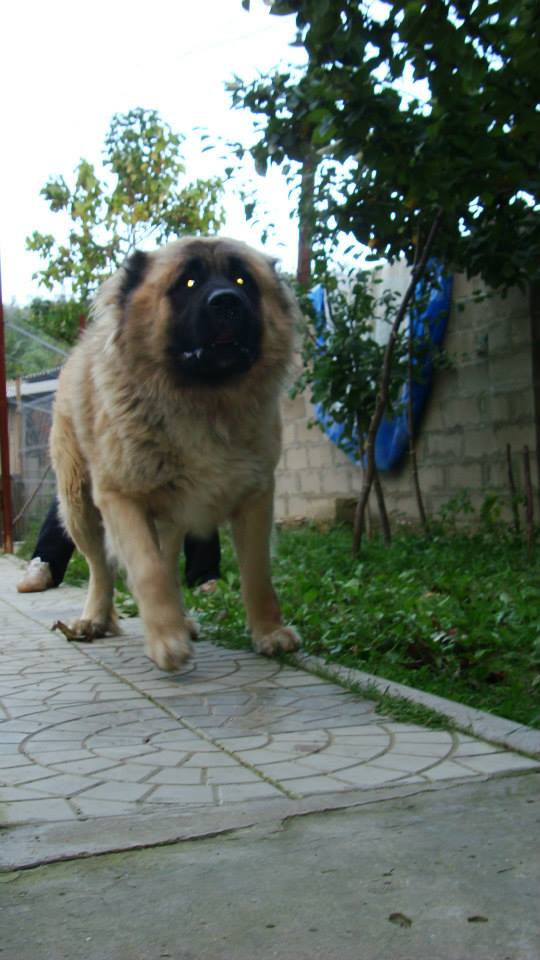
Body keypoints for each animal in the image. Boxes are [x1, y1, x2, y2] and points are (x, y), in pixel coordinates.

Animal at [50, 235, 300, 668]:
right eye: (188, 282)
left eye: (243, 280)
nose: (227, 302)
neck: (203, 402)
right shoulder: (119, 496)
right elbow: (147, 569)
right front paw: (166, 639)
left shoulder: (255, 495)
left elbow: (257, 572)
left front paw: (269, 632)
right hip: (78, 505)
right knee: (100, 567)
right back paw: (95, 619)